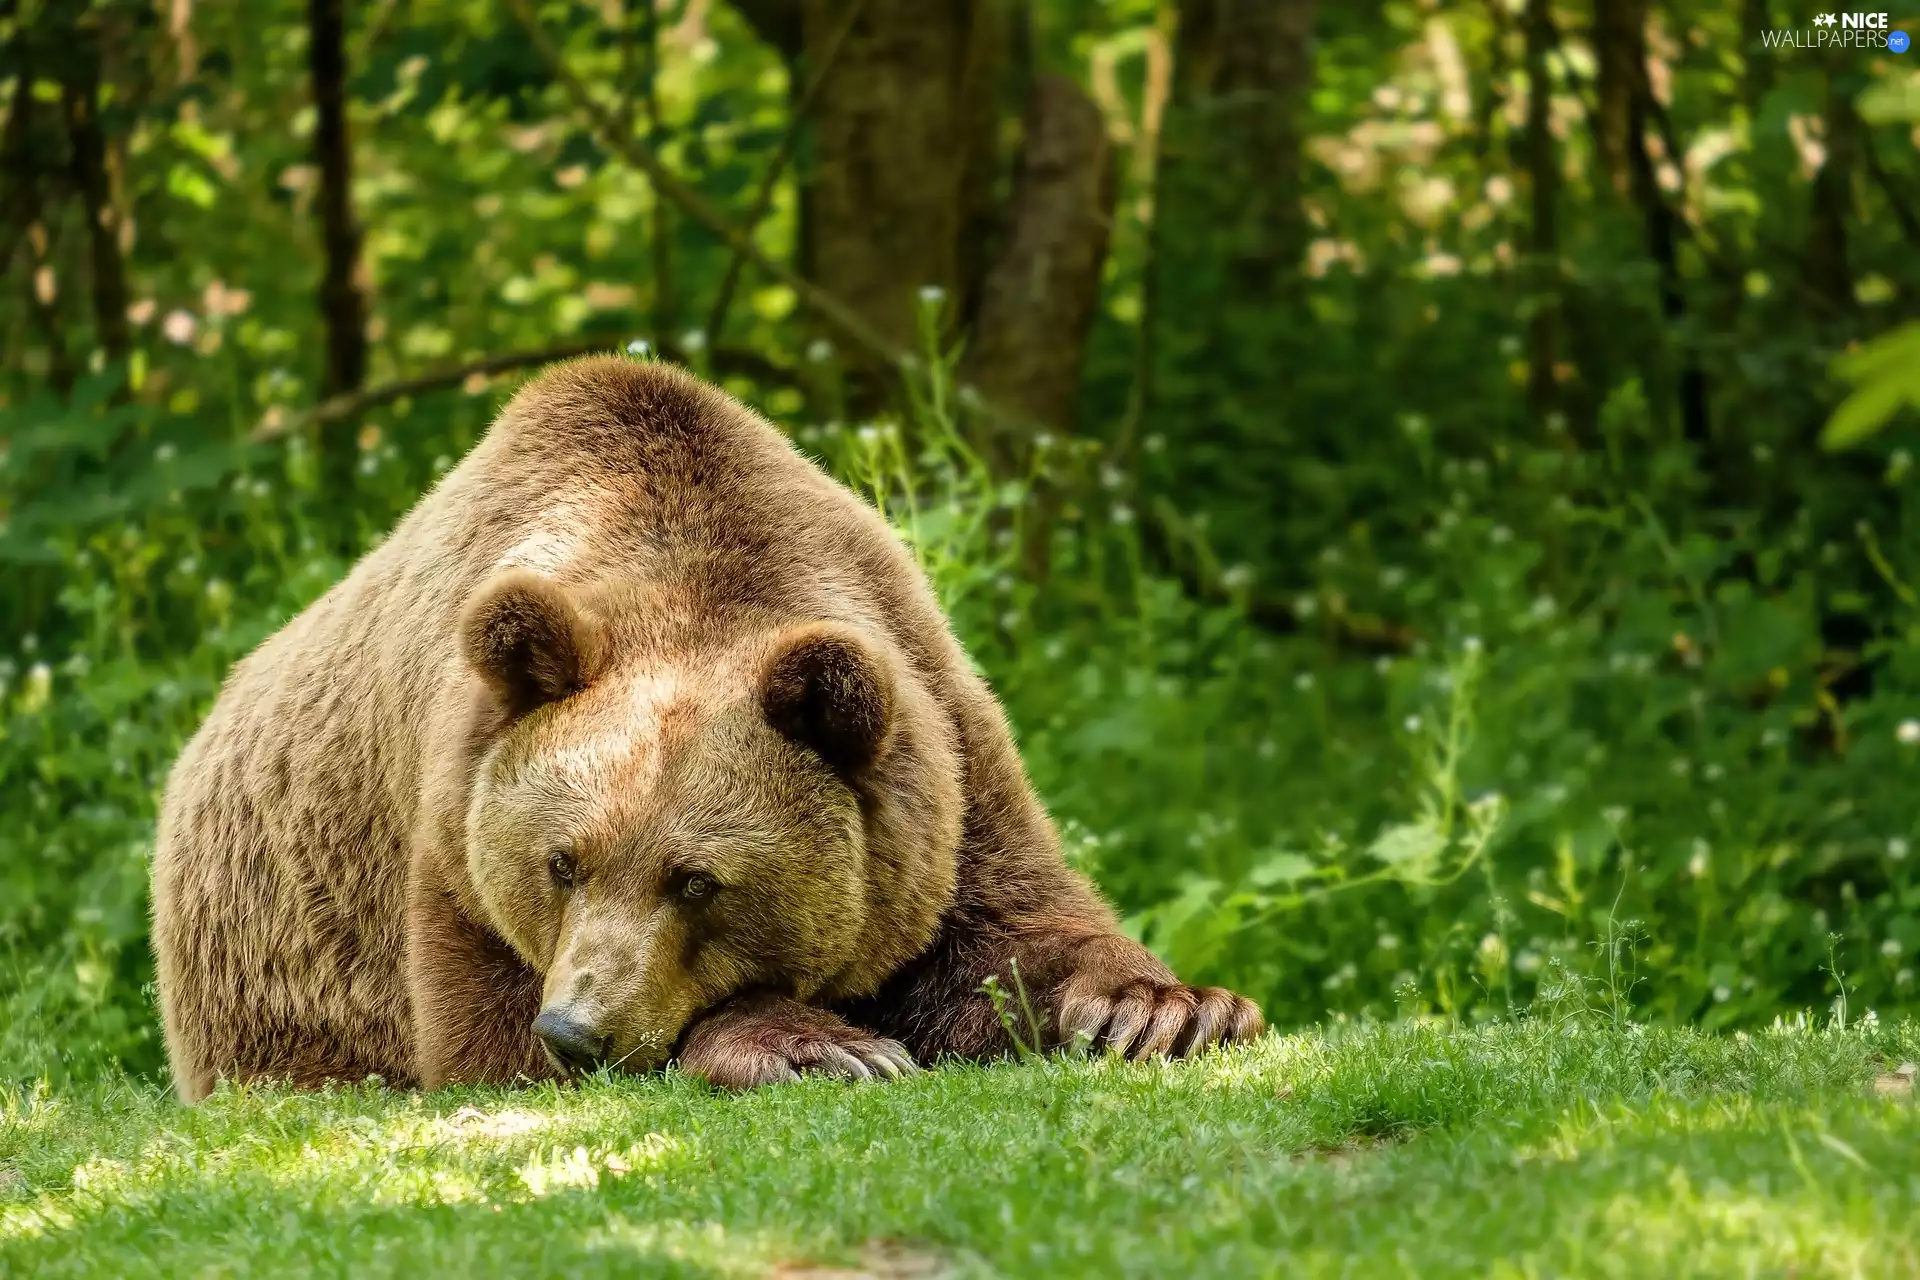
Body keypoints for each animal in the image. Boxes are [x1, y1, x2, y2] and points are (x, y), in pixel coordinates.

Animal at [150, 356, 1263, 1102]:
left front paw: (1167, 1009)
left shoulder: (939, 750)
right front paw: (820, 1042)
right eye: (561, 861)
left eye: (697, 879)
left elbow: (1012, 930)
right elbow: (485, 1038)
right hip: (271, 968)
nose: (579, 1029)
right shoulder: (451, 842)